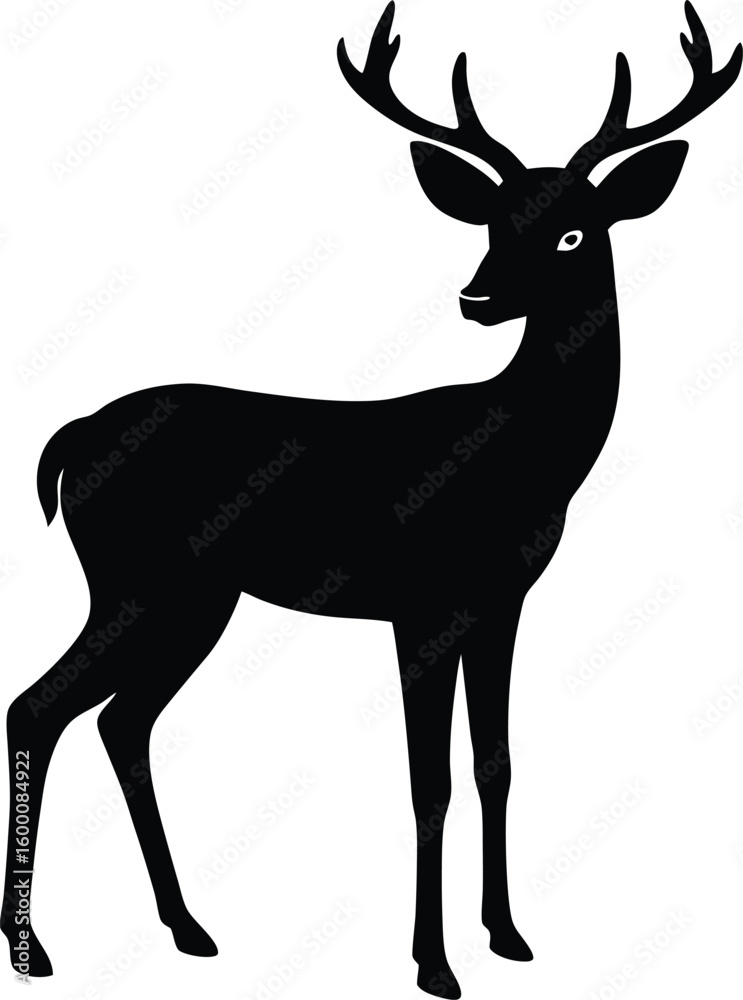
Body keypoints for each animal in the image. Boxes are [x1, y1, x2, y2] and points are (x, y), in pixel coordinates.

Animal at [2, 1, 740, 995]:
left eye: (573, 232)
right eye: (493, 222)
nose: (475, 297)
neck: (524, 455)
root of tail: (70, 438)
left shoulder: (501, 601)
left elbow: (495, 764)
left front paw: (509, 936)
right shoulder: (421, 603)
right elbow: (428, 782)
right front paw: (433, 965)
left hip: (193, 599)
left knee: (122, 722)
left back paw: (187, 928)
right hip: (135, 580)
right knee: (40, 706)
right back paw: (35, 946)